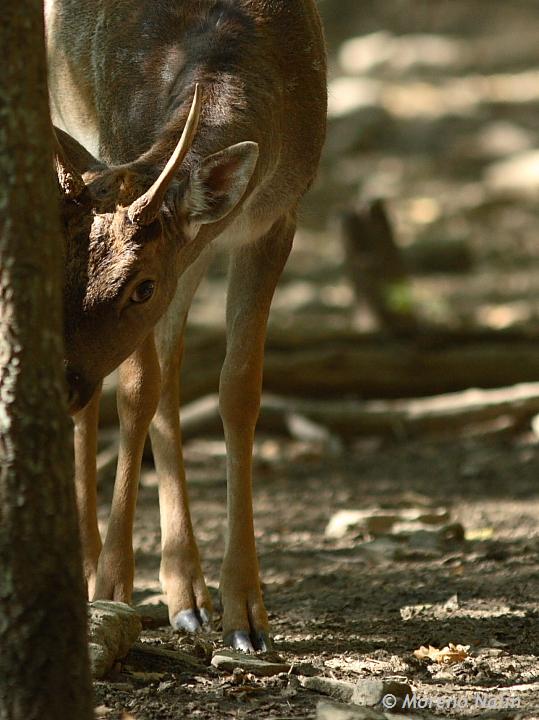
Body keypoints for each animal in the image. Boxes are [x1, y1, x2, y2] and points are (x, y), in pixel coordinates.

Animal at [45, 0, 324, 652]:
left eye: (141, 285)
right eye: (60, 265)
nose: (61, 381)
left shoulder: (275, 221)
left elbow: (238, 390)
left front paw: (246, 613)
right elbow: (135, 392)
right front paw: (112, 586)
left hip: (192, 262)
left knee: (170, 377)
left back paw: (188, 596)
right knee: (131, 392)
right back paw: (96, 565)